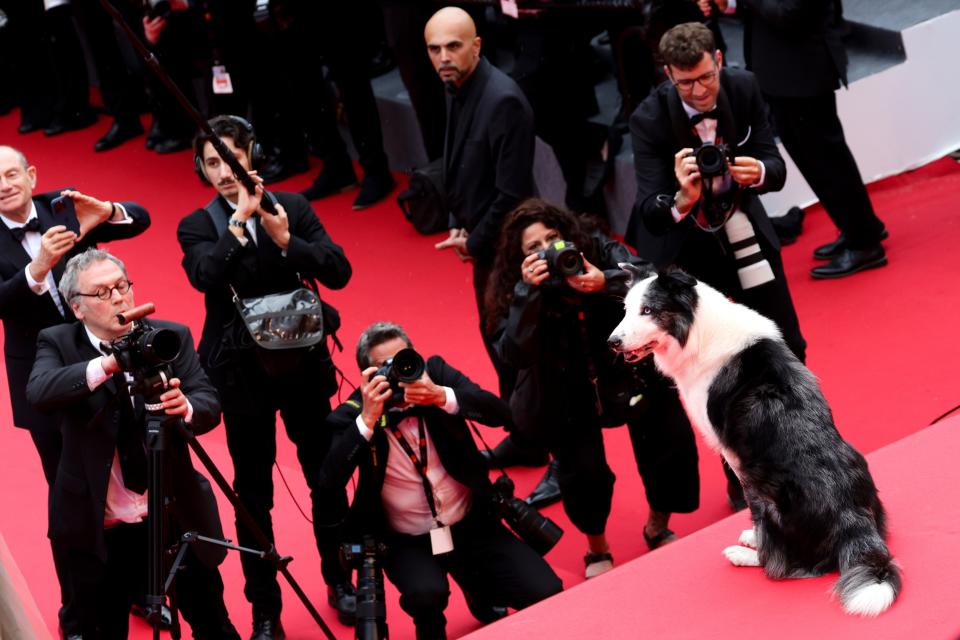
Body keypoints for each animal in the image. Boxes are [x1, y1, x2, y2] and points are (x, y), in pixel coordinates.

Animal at [608, 266, 900, 616]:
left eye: (648, 310)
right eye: (625, 309)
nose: (611, 343)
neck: (698, 328)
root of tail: (853, 520)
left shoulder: (735, 457)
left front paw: (751, 543)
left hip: (766, 492)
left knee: (782, 564)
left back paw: (747, 555)